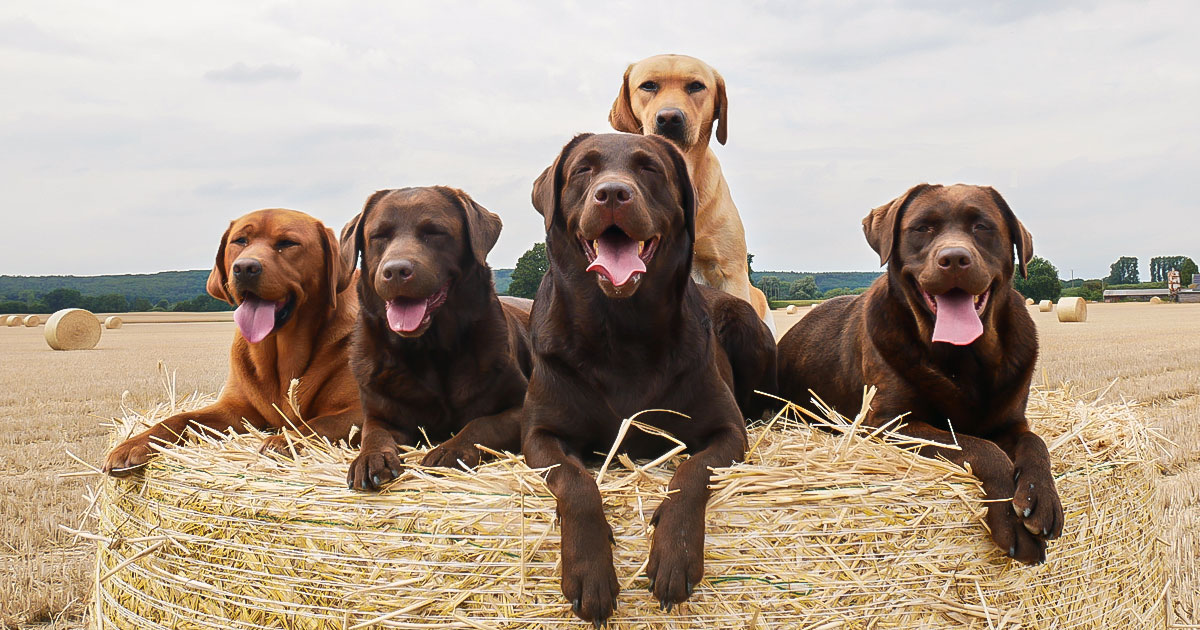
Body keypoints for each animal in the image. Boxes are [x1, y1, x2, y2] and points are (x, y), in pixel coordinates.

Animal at [105, 208, 357, 475]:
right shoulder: (234, 410)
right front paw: (136, 442)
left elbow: (317, 425)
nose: (245, 268)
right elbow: (180, 418)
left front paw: (282, 441)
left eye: (287, 243)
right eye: (240, 241)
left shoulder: (357, 410)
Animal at [338, 184, 525, 489]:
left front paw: (449, 451)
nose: (395, 271)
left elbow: (482, 424)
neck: (431, 349)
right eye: (379, 236)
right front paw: (370, 458)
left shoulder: (523, 407)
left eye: (434, 232)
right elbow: (373, 435)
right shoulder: (380, 415)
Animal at [525, 133, 777, 624]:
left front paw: (675, 555)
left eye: (649, 169)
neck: (622, 327)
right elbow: (575, 482)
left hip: (746, 323)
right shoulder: (540, 434)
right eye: (584, 169)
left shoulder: (726, 429)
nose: (612, 194)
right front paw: (589, 571)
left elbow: (692, 471)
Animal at [782, 184, 1065, 561]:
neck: (964, 358)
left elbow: (1035, 442)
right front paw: (1009, 517)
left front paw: (1041, 497)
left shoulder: (1011, 421)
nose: (955, 259)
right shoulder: (889, 423)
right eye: (922, 228)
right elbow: (979, 447)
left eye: (982, 226)